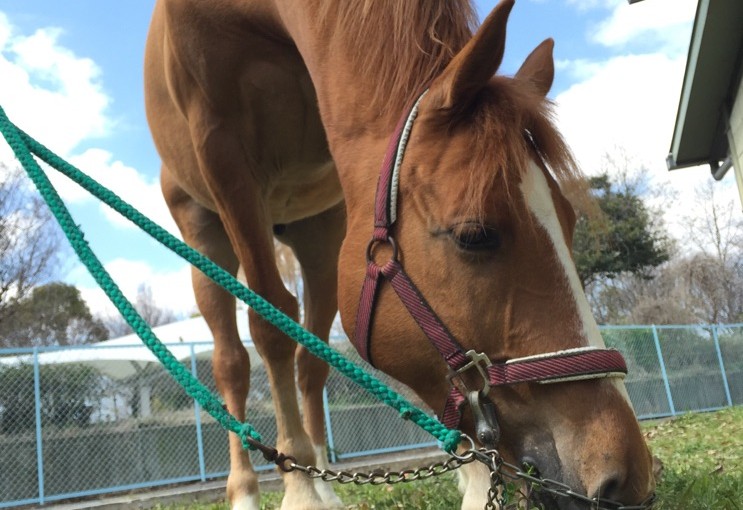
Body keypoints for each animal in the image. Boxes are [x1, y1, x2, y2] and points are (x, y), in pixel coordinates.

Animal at [144, 1, 656, 508]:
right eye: (473, 235)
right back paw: (252, 491)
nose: (627, 477)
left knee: (311, 363)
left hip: (320, 238)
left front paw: (472, 482)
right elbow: (271, 325)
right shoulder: (224, 153)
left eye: (569, 220)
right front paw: (299, 494)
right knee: (233, 363)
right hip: (205, 236)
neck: (254, 15)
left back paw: (324, 481)